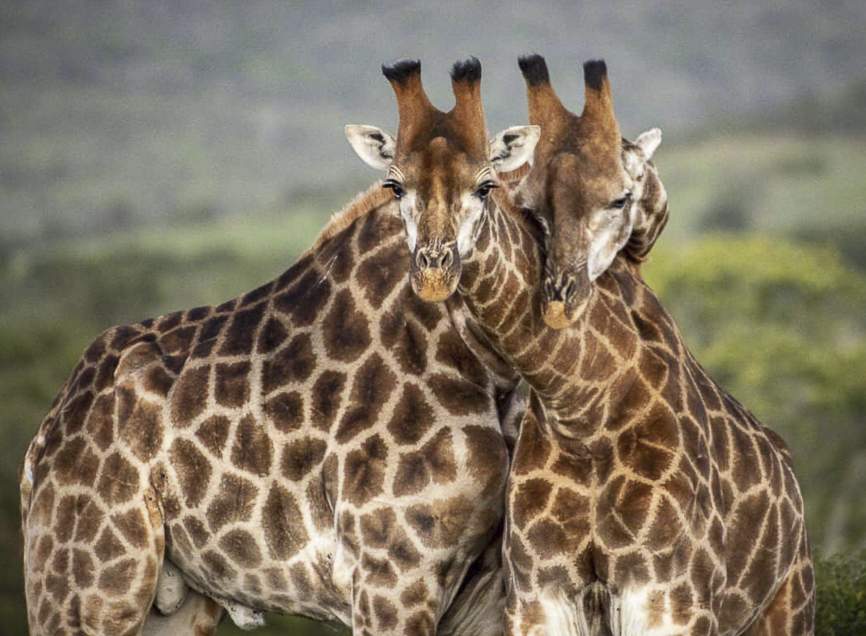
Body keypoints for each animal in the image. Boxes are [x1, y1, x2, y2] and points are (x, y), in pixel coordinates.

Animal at [19, 60, 540, 636]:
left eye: (486, 185)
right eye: (394, 186)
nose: (435, 271)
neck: (481, 353)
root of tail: (44, 436)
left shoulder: (489, 597)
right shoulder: (394, 572)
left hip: (173, 597)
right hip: (92, 585)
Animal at [351, 54, 815, 635]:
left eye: (486, 186)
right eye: (394, 186)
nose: (434, 272)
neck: (585, 416)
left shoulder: (671, 598)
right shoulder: (539, 595)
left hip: (788, 604)